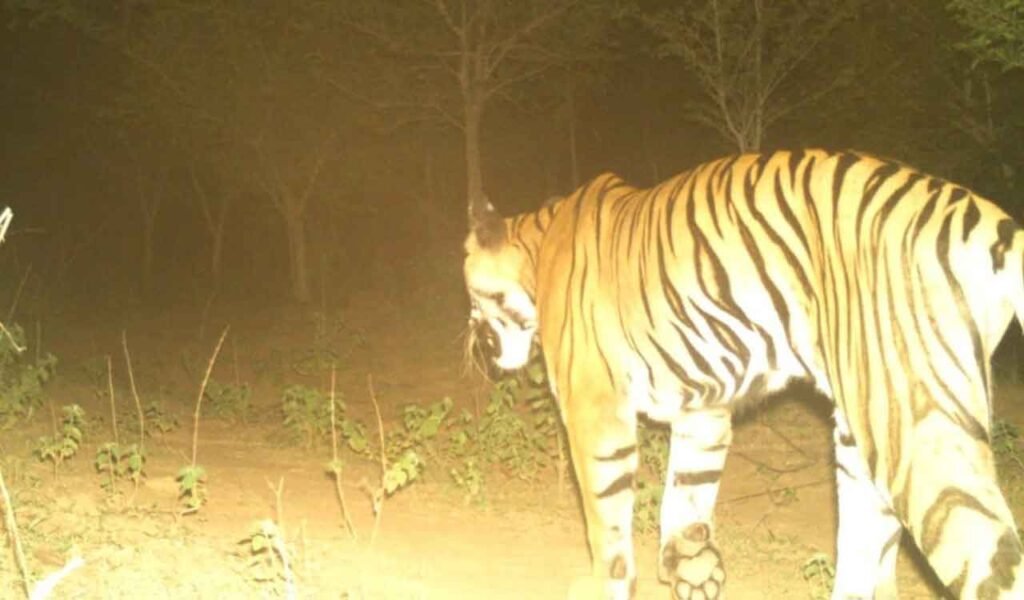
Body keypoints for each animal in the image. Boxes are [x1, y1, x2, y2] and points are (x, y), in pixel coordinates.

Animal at [463, 149, 1024, 599]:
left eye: (469, 292)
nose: (471, 339)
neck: (538, 246)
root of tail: (994, 224)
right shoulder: (704, 411)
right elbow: (686, 497)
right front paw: (694, 570)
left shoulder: (596, 411)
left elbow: (607, 528)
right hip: (863, 442)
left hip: (920, 432)